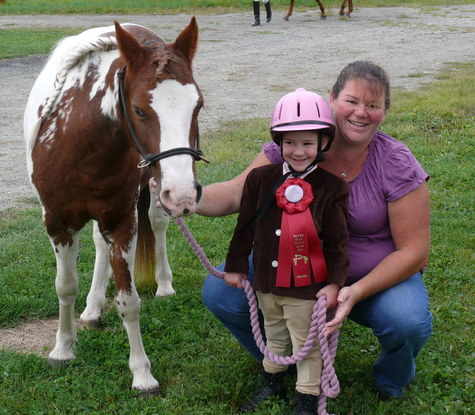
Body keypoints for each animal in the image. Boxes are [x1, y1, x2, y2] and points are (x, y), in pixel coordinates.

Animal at [22, 18, 205, 396]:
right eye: (139, 109)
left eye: (197, 105)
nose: (183, 194)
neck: (79, 143)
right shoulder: (57, 223)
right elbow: (65, 286)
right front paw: (62, 349)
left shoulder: (122, 221)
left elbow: (129, 301)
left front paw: (142, 373)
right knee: (98, 247)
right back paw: (92, 309)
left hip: (152, 191)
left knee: (158, 225)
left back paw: (164, 284)